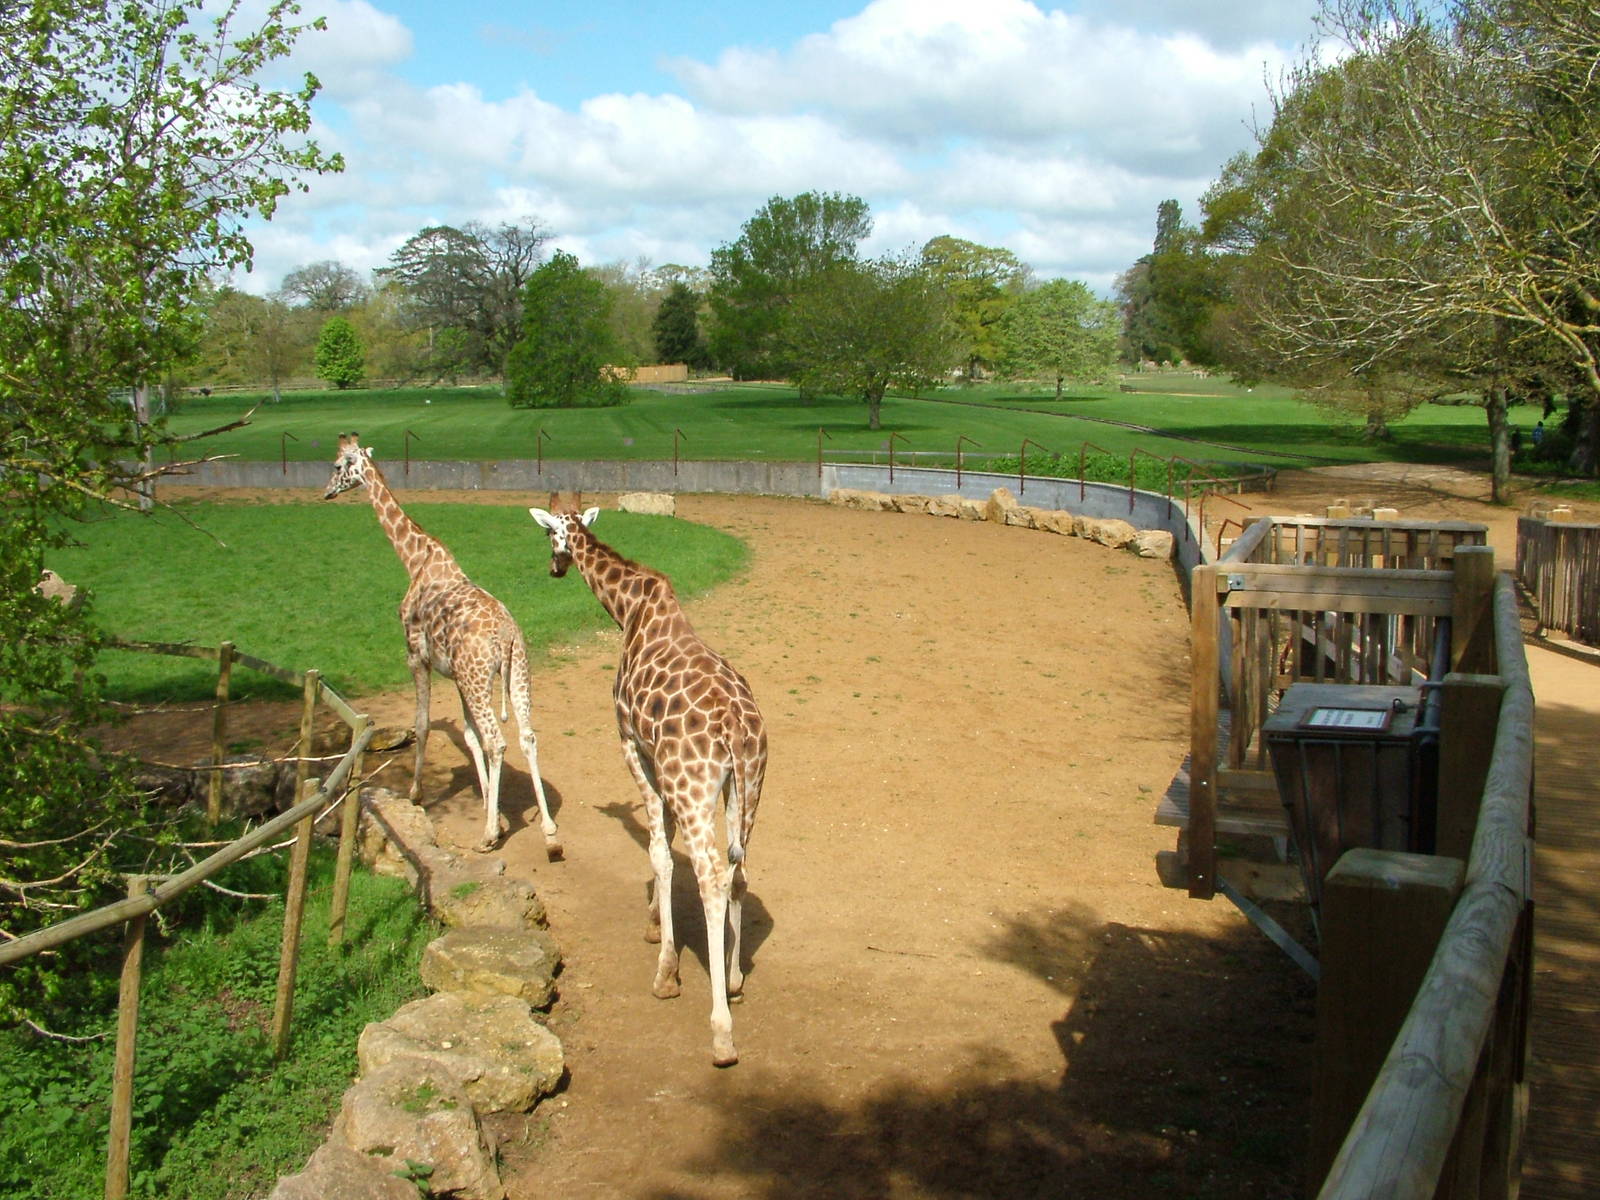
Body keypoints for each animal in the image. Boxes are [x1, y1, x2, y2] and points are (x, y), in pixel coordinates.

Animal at [324, 434, 561, 859]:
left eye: (337, 466)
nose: (326, 492)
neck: (414, 560)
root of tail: (505, 635)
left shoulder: (415, 656)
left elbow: (421, 723)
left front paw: (418, 794)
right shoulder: (455, 675)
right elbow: (468, 736)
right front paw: (490, 808)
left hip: (479, 677)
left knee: (498, 741)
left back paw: (487, 838)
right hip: (515, 674)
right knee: (526, 736)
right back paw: (549, 833)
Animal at [529, 498, 767, 1066]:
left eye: (549, 537)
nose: (554, 568)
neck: (629, 609)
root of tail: (736, 729)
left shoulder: (630, 742)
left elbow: (660, 851)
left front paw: (666, 969)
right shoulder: (668, 768)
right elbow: (665, 845)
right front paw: (654, 923)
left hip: (696, 784)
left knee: (711, 878)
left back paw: (721, 1032)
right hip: (748, 786)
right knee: (739, 871)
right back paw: (734, 978)